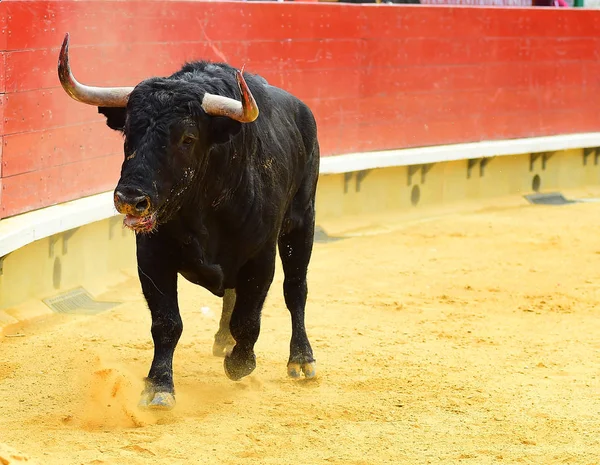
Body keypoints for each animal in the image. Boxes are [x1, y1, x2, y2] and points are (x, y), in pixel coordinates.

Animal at [59, 33, 322, 410]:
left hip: (302, 223)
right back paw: (224, 340)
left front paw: (240, 364)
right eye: (129, 133)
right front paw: (159, 386)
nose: (130, 199)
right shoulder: (151, 257)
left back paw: (301, 360)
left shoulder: (261, 257)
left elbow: (250, 318)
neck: (203, 207)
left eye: (187, 138)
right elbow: (166, 322)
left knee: (295, 289)